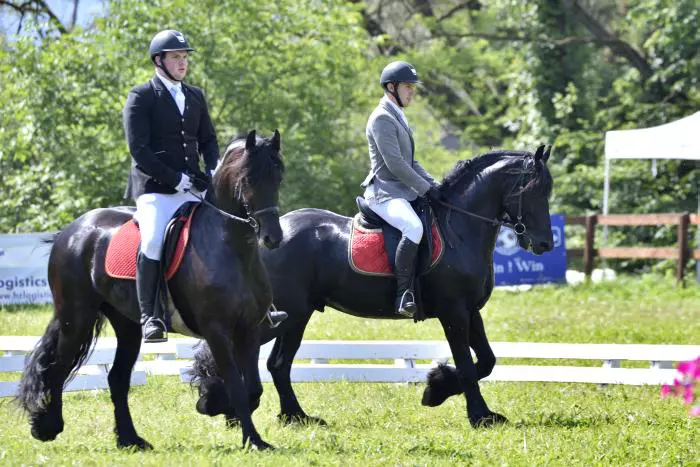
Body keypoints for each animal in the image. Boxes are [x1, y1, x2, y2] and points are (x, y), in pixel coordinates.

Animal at [17, 129, 284, 451]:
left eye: (278, 177)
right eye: (248, 178)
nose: (272, 237)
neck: (232, 250)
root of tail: (70, 231)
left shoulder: (249, 328)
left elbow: (253, 387)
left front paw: (218, 407)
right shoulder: (216, 330)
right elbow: (237, 386)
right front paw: (250, 438)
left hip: (127, 325)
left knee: (117, 379)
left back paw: (129, 439)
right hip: (76, 318)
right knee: (57, 368)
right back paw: (47, 427)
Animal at [190, 145, 554, 429]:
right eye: (532, 191)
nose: (544, 244)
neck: (461, 227)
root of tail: (266, 235)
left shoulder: (470, 311)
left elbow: (487, 361)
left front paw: (437, 389)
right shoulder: (454, 312)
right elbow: (467, 364)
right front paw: (477, 414)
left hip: (295, 317)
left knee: (278, 364)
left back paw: (296, 417)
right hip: (284, 315)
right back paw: (222, 405)